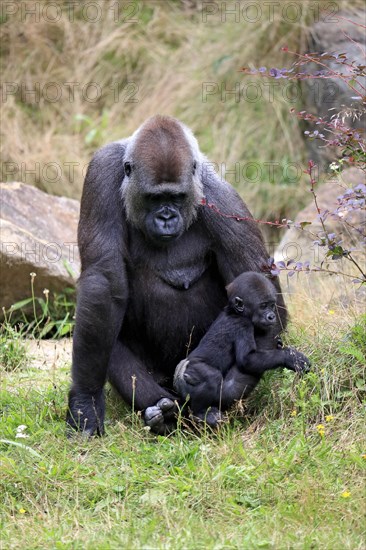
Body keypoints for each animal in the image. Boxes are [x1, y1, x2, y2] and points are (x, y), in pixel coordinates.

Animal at [68, 115, 286, 436]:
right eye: (154, 198)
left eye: (177, 197)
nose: (166, 217)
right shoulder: (102, 171)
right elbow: (103, 286)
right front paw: (86, 400)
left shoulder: (224, 202)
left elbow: (268, 304)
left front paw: (224, 391)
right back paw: (164, 413)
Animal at [174, 272, 308, 426]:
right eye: (263, 306)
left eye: (271, 305)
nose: (271, 316)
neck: (235, 312)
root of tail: (178, 375)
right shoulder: (243, 325)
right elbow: (247, 359)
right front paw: (289, 357)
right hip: (192, 370)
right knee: (211, 377)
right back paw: (201, 412)